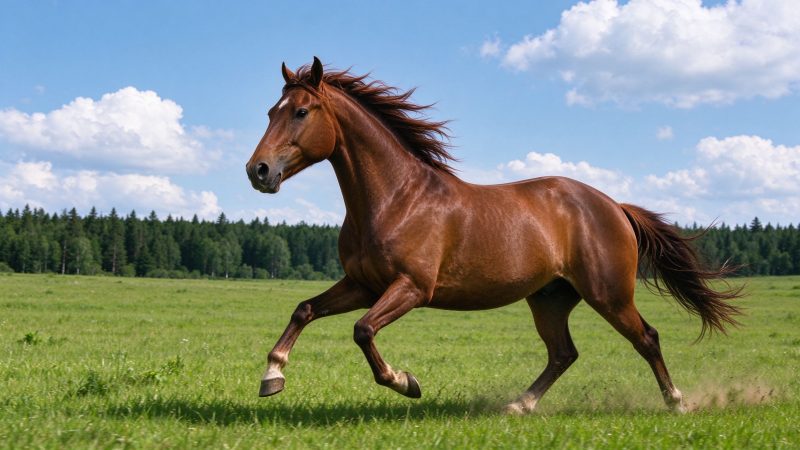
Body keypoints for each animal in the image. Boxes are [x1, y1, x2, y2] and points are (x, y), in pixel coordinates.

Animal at [245, 57, 742, 414]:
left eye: (301, 112)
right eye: (270, 111)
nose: (258, 171)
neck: (396, 199)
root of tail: (614, 206)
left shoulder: (412, 288)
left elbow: (363, 330)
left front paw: (406, 383)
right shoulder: (364, 285)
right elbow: (305, 309)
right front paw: (272, 376)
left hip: (609, 294)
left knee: (647, 338)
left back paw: (676, 402)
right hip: (550, 297)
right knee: (563, 353)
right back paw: (519, 405)